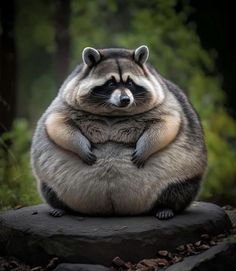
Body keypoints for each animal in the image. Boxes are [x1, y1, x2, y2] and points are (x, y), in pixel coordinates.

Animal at [30, 45, 206, 220]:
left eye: (130, 82)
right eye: (110, 83)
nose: (125, 99)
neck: (114, 112)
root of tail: (118, 211)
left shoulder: (167, 100)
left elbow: (168, 123)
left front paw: (145, 147)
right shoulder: (63, 102)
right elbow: (56, 123)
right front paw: (81, 146)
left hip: (183, 174)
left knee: (179, 189)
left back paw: (166, 207)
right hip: (51, 182)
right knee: (49, 189)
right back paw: (60, 207)